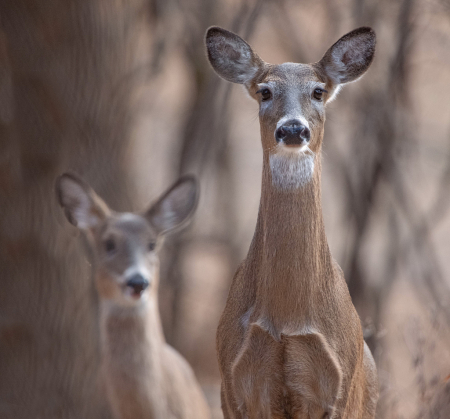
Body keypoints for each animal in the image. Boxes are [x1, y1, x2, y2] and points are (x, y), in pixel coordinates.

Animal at [207, 27, 380, 419]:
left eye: (317, 91)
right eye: (265, 91)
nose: (292, 130)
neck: (288, 316)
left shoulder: (339, 391)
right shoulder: (232, 387)